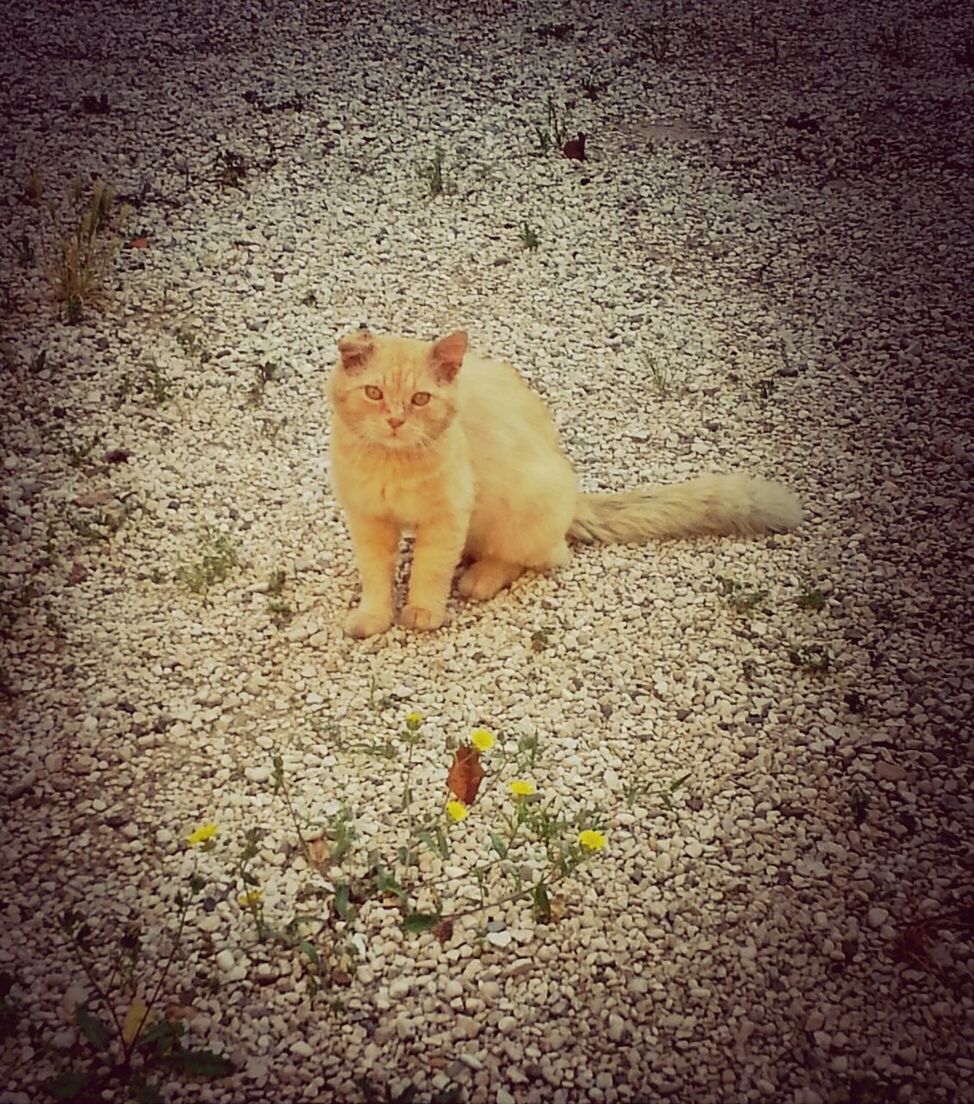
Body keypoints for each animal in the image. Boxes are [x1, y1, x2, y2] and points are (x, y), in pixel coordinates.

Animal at [326, 326, 795, 640]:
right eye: (373, 393)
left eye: (420, 399)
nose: (395, 421)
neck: (391, 465)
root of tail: (572, 496)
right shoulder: (368, 521)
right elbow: (376, 578)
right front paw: (375, 617)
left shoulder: (446, 520)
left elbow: (429, 571)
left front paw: (422, 612)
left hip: (520, 509)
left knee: (536, 557)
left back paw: (479, 578)